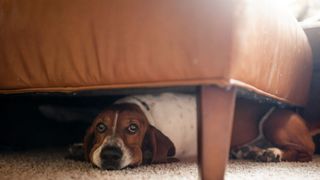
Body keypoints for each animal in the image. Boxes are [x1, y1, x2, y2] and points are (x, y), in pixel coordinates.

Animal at [80, 92, 320, 169]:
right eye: (100, 126)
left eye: (133, 128)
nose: (110, 154)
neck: (147, 112)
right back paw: (248, 151)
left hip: (274, 122)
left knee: (305, 153)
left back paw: (271, 153)